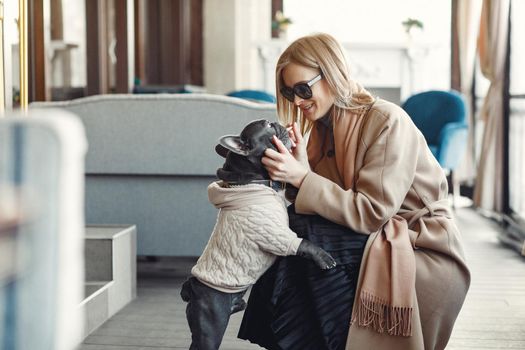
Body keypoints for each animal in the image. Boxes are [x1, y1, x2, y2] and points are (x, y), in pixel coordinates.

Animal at [180, 119, 336, 350]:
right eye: (269, 126)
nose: (281, 123)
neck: (254, 183)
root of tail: (192, 287)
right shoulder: (276, 234)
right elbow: (304, 244)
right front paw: (324, 258)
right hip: (210, 326)